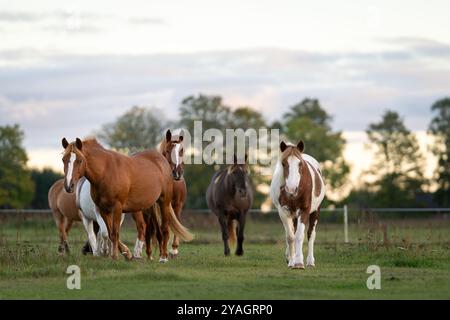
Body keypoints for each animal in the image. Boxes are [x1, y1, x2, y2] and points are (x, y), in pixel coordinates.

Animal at [60, 137, 193, 260]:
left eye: (80, 160)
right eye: (63, 159)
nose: (69, 186)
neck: (106, 172)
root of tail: (162, 160)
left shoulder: (117, 208)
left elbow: (114, 232)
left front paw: (115, 256)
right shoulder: (103, 210)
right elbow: (109, 233)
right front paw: (119, 254)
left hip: (164, 202)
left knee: (164, 228)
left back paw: (163, 257)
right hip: (150, 206)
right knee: (155, 231)